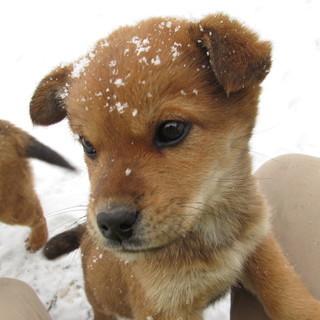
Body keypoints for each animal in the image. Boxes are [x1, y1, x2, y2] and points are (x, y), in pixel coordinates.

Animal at [30, 13, 320, 318]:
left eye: (171, 129)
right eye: (87, 144)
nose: (113, 223)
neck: (210, 234)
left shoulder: (258, 242)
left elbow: (287, 291)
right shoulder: (162, 306)